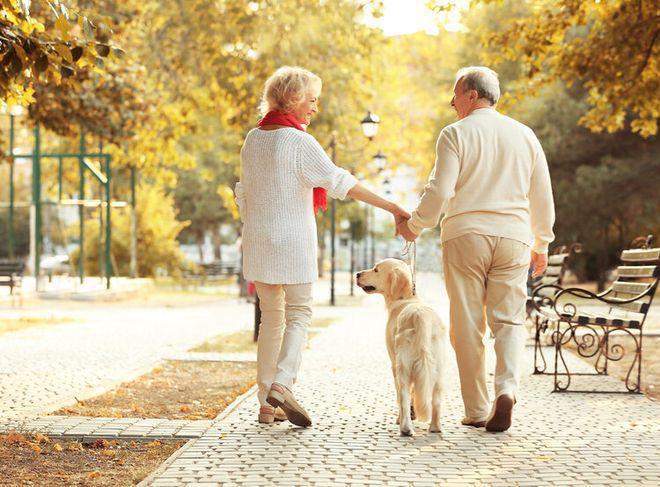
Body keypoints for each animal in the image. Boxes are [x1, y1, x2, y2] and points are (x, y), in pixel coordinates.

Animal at [356, 262, 448, 436]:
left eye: (376, 269)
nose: (357, 274)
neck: (406, 298)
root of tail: (421, 317)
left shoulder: (393, 365)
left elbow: (401, 397)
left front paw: (402, 418)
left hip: (402, 366)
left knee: (403, 396)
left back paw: (405, 427)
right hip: (439, 369)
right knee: (436, 400)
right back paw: (435, 427)